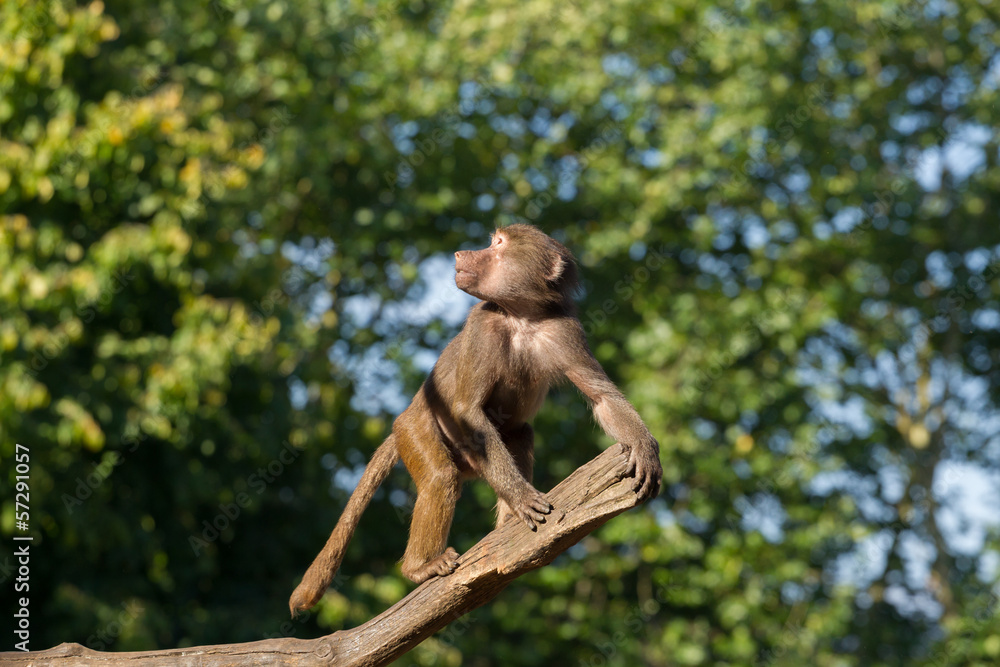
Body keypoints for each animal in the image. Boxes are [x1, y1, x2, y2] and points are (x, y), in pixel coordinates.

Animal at [288, 224, 661, 616]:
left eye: (497, 243)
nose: (459, 254)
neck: (520, 316)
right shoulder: (483, 326)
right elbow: (467, 410)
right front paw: (520, 496)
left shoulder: (565, 331)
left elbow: (602, 397)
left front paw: (645, 449)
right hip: (412, 429)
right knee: (441, 476)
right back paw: (420, 567)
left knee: (520, 433)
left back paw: (506, 523)